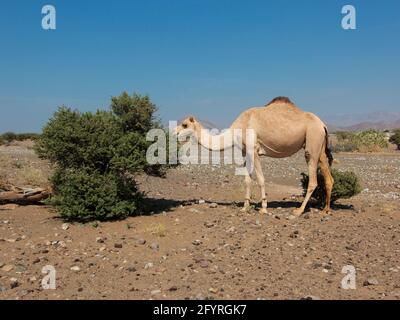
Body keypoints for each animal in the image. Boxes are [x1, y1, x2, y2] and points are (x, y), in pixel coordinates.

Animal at [173, 97, 332, 218]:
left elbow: (260, 179)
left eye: (184, 124)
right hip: (320, 147)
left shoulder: (253, 149)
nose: (173, 132)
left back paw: (298, 211)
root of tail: (323, 124)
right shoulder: (245, 152)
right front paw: (245, 207)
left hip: (312, 140)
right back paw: (326, 209)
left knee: (313, 180)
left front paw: (263, 208)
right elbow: (247, 180)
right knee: (328, 177)